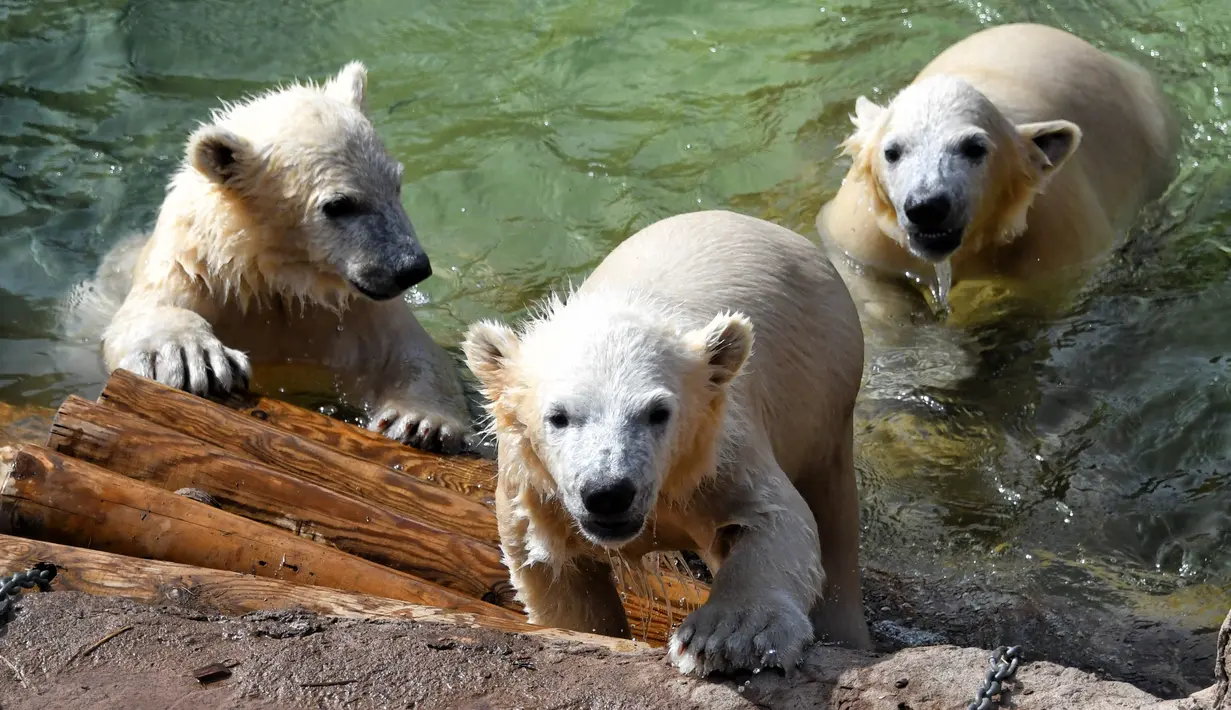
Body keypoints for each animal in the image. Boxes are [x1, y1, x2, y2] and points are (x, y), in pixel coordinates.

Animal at [72, 59, 467, 447]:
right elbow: (142, 316)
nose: (411, 267)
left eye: (395, 184)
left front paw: (420, 422)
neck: (273, 276)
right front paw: (193, 357)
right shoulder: (193, 268)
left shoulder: (353, 310)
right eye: (338, 205)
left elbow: (410, 350)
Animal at [462, 207, 876, 674]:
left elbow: (776, 517)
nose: (608, 493)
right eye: (559, 417)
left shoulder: (720, 449)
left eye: (658, 412)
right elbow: (554, 569)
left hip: (823, 390)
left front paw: (726, 638)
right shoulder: (537, 491)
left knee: (834, 521)